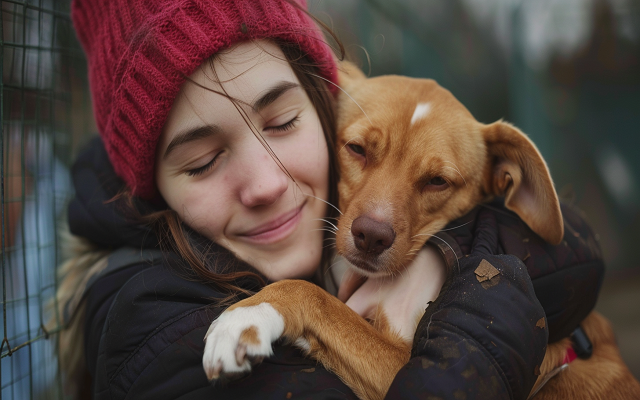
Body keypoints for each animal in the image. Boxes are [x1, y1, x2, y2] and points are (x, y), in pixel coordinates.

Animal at [201, 62, 640, 400]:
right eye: (357, 149)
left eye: (437, 181)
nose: (371, 236)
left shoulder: (402, 367)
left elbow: (314, 296)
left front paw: (250, 315)